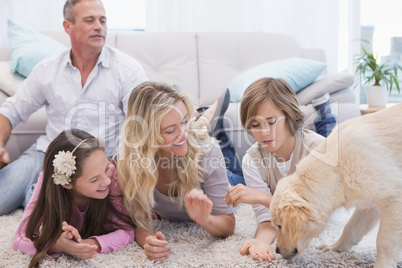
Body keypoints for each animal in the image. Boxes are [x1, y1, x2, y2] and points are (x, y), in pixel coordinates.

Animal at [270, 103, 402, 268]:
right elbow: (351, 227)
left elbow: (385, 241)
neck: (337, 171)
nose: (276, 250)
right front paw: (334, 248)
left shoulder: (393, 199)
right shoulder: (369, 203)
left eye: (280, 226)